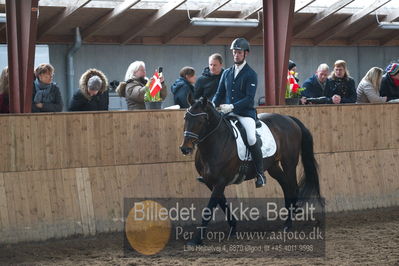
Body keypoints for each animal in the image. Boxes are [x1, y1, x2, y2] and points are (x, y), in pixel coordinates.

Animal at [180, 96, 324, 244]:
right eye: (186, 117)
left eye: (202, 119)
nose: (185, 148)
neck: (215, 144)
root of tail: (288, 118)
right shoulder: (210, 182)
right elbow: (222, 204)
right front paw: (233, 228)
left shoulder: (220, 181)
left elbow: (209, 209)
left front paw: (197, 239)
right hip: (273, 166)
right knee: (285, 185)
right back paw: (288, 218)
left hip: (289, 163)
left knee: (293, 187)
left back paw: (288, 224)